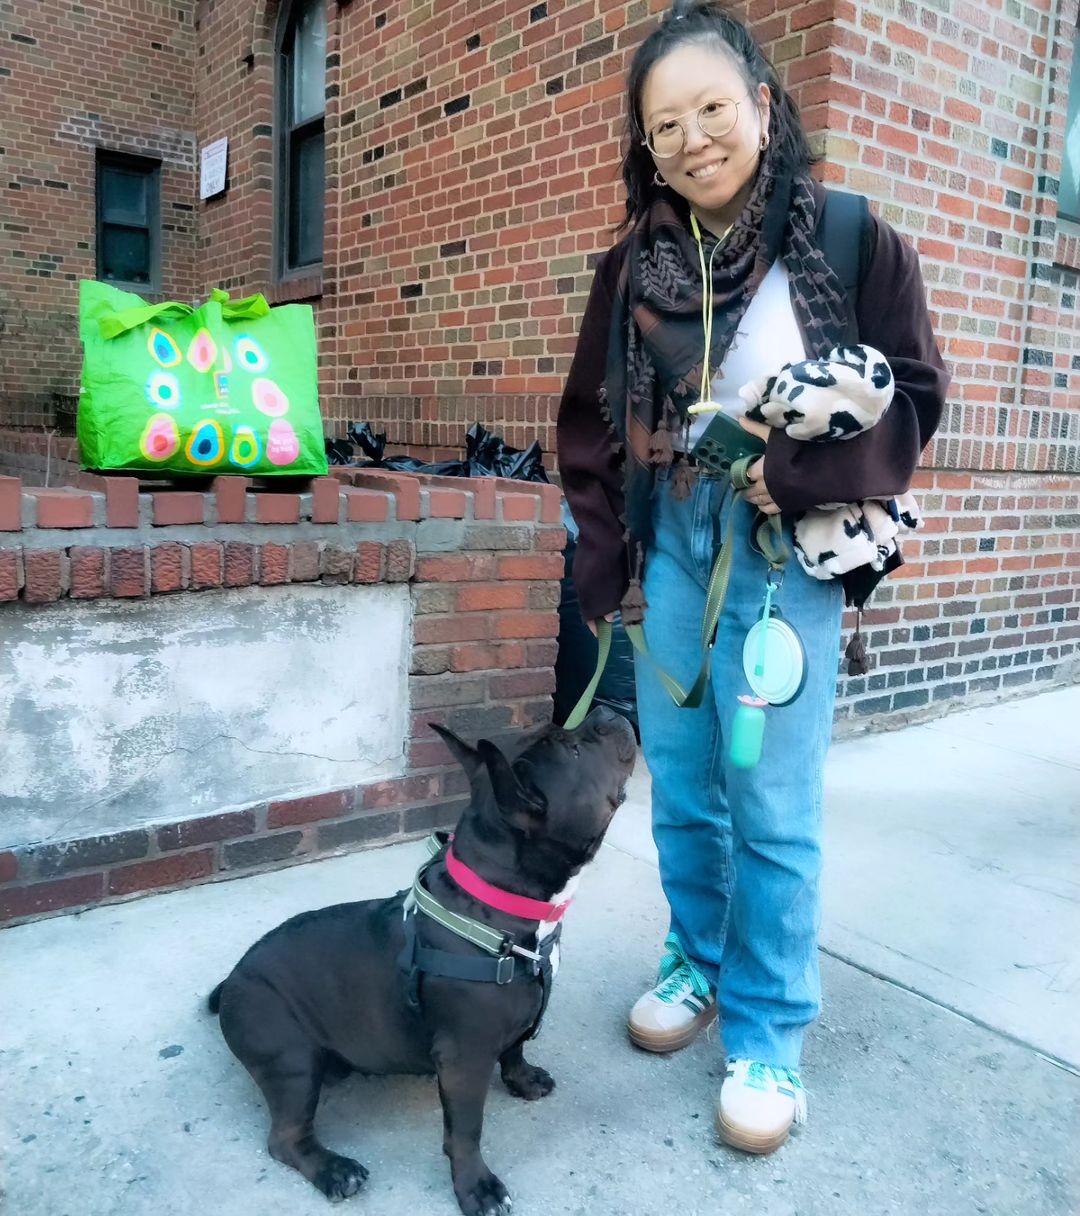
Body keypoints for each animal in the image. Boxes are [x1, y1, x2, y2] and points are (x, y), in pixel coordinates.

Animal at [206, 710, 637, 1216]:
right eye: (573, 750)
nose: (606, 713)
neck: (500, 907)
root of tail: (232, 980)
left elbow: (515, 1048)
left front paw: (524, 1079)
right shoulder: (464, 1059)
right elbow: (466, 1130)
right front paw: (476, 1187)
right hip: (290, 1057)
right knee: (286, 1138)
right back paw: (335, 1170)